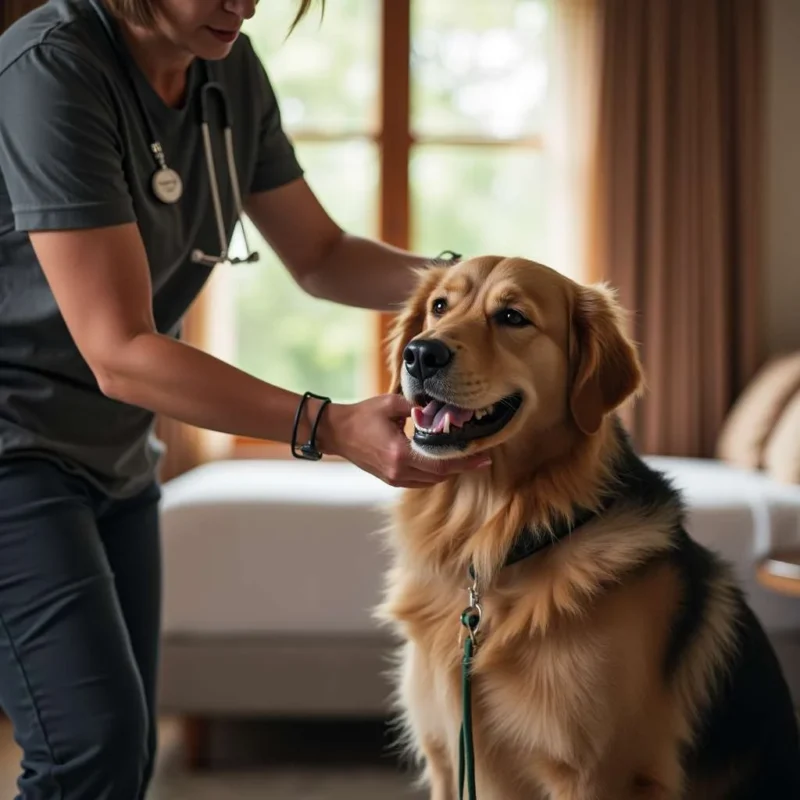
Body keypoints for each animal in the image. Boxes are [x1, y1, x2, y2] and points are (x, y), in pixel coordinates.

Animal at [376, 256, 800, 800]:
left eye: (512, 317)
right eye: (439, 307)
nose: (420, 354)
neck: (505, 536)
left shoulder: (596, 773)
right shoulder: (448, 760)